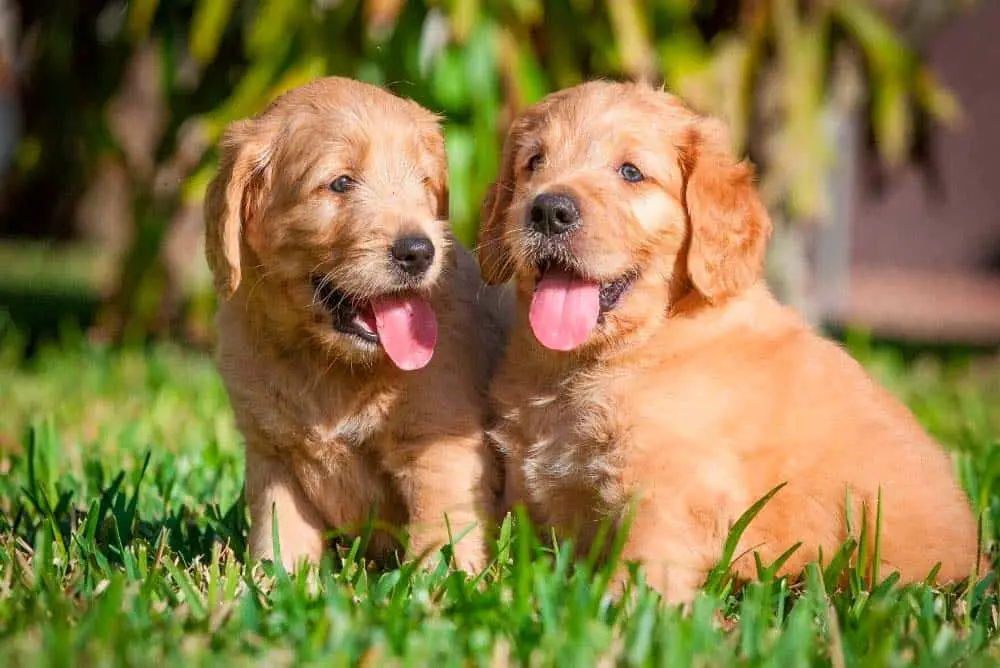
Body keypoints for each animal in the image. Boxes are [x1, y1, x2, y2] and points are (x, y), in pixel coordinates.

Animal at [208, 75, 512, 572]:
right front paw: (271, 586)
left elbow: (441, 539)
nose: (419, 251)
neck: (328, 365)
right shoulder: (274, 460)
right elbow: (278, 543)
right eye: (340, 183)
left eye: (423, 182)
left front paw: (437, 589)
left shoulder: (442, 452)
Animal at [480, 81, 980, 604]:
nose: (548, 210)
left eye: (631, 172)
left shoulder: (673, 485)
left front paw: (618, 614)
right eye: (534, 162)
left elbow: (645, 568)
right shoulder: (528, 481)